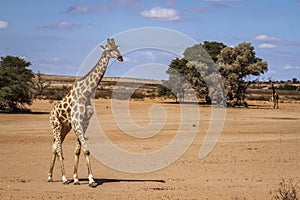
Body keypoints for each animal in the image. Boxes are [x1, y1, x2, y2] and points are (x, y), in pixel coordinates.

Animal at [47, 38, 122, 187]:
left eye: (118, 48)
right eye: (109, 50)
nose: (120, 57)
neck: (86, 93)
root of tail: (51, 113)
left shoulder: (84, 123)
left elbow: (78, 151)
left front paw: (76, 179)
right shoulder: (77, 123)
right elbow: (86, 150)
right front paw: (91, 181)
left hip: (65, 127)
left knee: (54, 146)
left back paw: (50, 176)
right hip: (56, 126)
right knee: (58, 148)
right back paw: (64, 178)